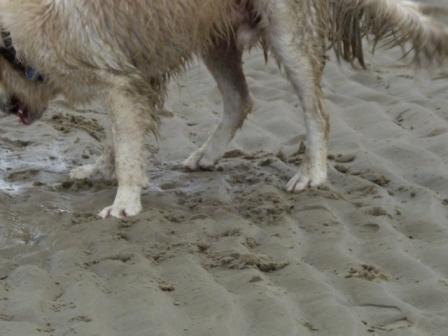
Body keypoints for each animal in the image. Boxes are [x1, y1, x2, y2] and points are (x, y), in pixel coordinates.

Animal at [0, 0, 446, 219]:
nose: (8, 109)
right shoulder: (130, 78)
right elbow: (117, 138)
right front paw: (98, 170)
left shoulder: (118, 80)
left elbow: (126, 148)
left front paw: (124, 202)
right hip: (213, 33)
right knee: (239, 99)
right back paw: (206, 155)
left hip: (286, 32)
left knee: (316, 112)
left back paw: (311, 174)